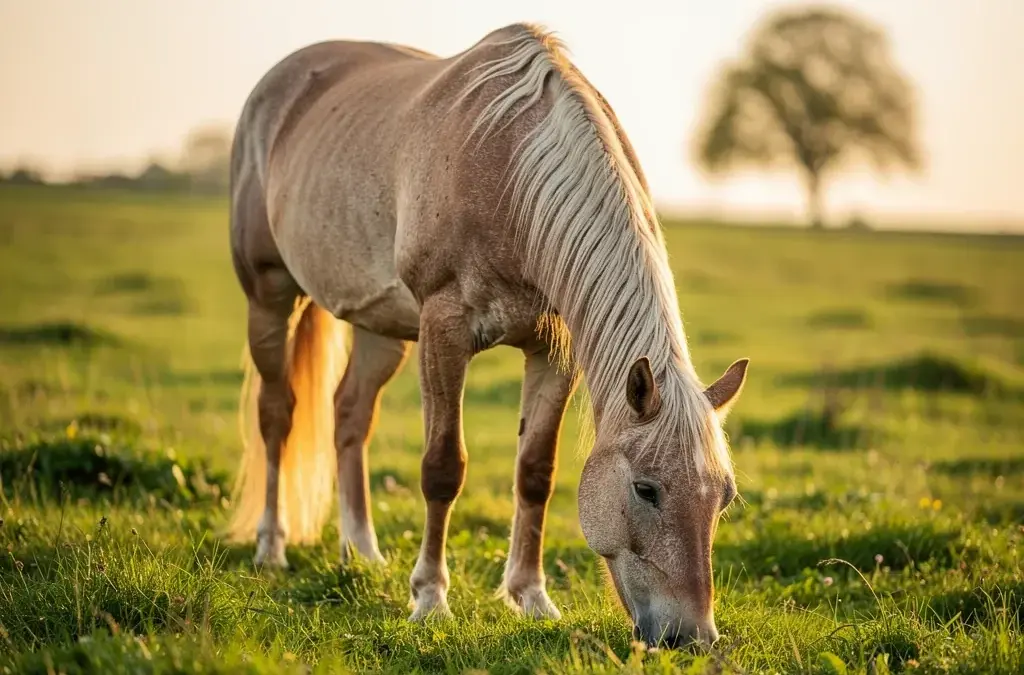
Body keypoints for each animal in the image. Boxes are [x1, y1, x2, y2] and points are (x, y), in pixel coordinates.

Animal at [225, 22, 748, 648]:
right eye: (646, 489)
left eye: (723, 498)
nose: (691, 639)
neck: (510, 171)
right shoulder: (444, 329)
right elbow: (442, 468)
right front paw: (430, 599)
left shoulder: (552, 350)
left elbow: (535, 473)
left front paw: (532, 597)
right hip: (270, 296)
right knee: (277, 414)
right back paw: (271, 548)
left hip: (382, 328)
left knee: (349, 413)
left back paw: (363, 552)